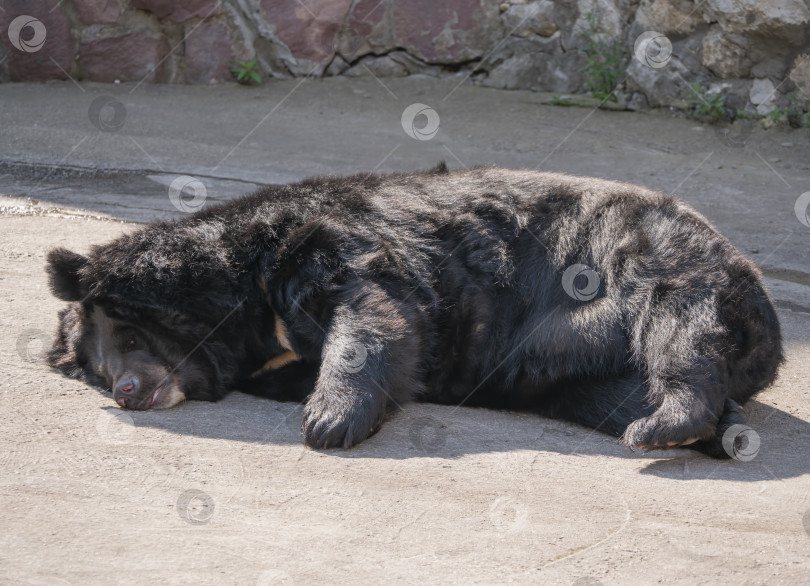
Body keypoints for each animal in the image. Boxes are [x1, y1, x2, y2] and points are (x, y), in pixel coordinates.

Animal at [47, 164, 780, 456]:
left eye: (128, 332)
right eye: (95, 370)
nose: (127, 389)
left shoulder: (329, 242)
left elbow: (375, 310)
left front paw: (329, 419)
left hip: (646, 254)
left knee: (681, 326)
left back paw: (671, 423)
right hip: (553, 355)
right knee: (609, 387)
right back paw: (704, 427)